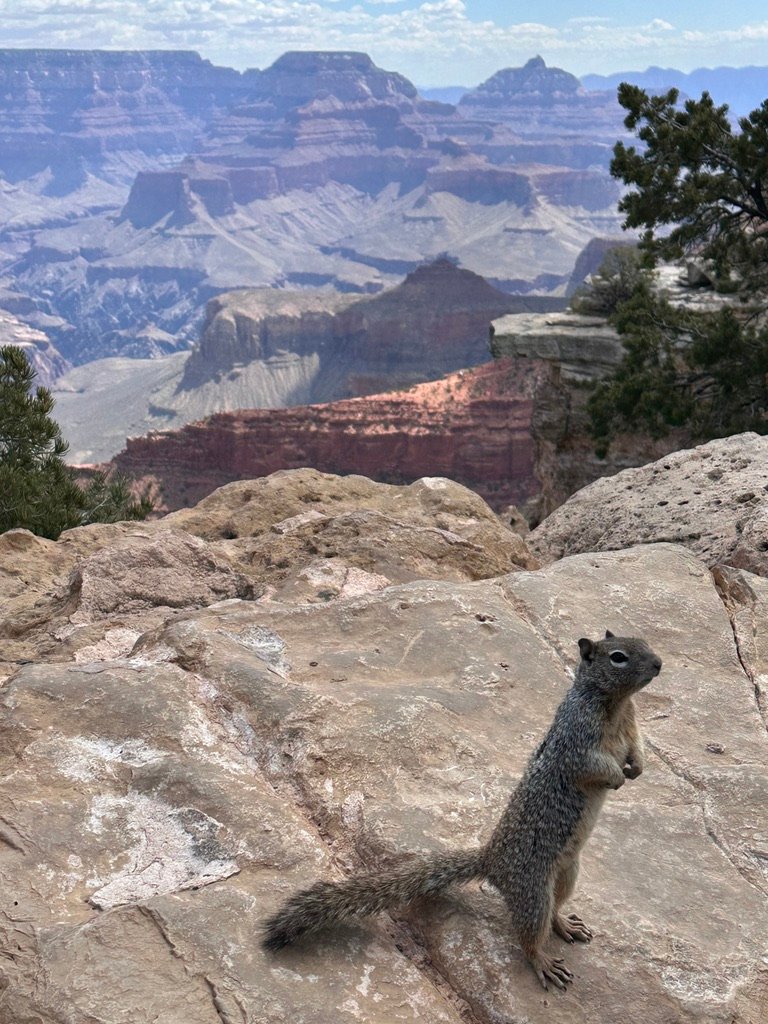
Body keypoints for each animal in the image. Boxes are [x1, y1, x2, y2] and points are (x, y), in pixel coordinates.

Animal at [262, 631, 662, 990]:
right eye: (619, 657)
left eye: (644, 641)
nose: (659, 664)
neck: (616, 704)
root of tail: (492, 860)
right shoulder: (578, 741)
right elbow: (593, 765)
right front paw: (618, 777)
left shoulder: (631, 725)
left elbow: (637, 746)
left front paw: (637, 768)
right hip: (532, 889)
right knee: (530, 933)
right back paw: (543, 962)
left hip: (567, 874)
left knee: (553, 912)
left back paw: (565, 925)